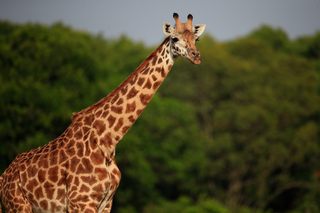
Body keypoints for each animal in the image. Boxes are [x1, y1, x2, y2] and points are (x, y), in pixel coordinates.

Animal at [0, 13, 205, 213]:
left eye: (196, 39)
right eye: (175, 38)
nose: (196, 56)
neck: (108, 140)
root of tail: (3, 179)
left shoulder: (106, 203)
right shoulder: (82, 202)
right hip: (19, 206)